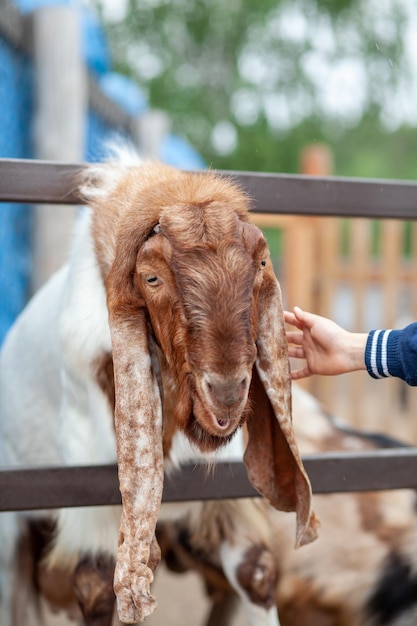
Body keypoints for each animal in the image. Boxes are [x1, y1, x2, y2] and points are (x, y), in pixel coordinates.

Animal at [0, 152, 316, 624]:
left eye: (260, 265)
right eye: (151, 279)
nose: (226, 392)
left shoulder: (220, 505)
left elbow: (256, 570)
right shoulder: (91, 513)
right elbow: (100, 592)